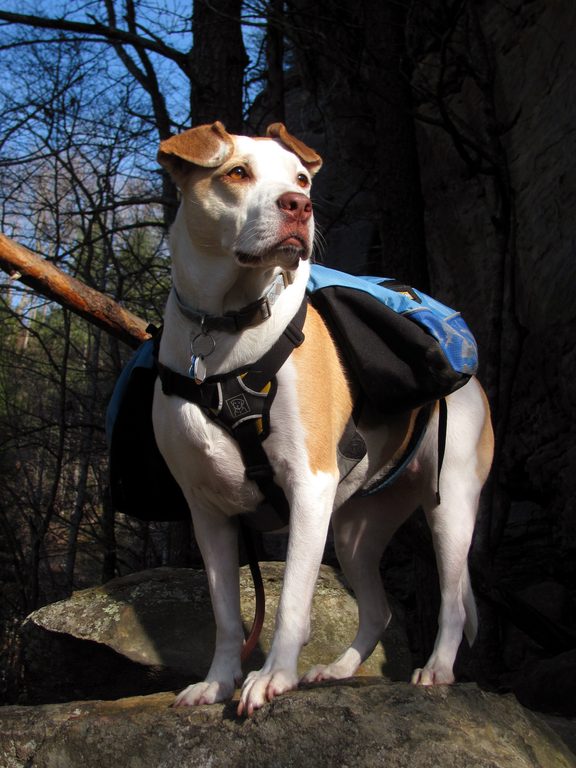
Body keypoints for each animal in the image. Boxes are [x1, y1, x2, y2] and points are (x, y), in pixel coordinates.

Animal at [153, 120, 496, 712]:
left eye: (300, 180)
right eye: (236, 172)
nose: (299, 206)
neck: (227, 331)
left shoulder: (308, 485)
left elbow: (292, 598)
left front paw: (273, 676)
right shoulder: (208, 514)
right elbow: (226, 617)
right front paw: (217, 683)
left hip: (450, 507)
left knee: (452, 602)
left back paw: (437, 669)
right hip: (356, 531)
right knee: (379, 609)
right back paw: (338, 670)